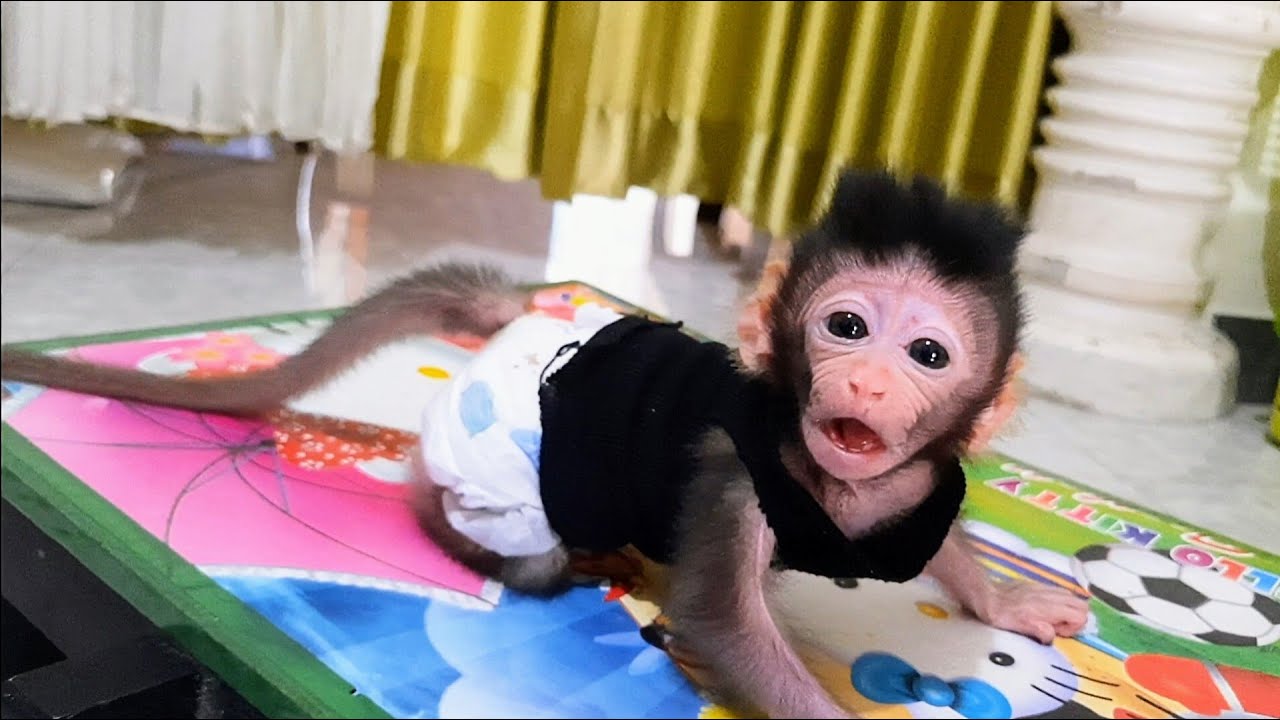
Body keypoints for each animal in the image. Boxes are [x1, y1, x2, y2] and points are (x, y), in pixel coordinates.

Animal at [0, 170, 1088, 718]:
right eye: (846, 327)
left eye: (927, 351)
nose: (864, 383)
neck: (837, 491)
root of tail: (521, 319)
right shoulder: (731, 479)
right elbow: (724, 627)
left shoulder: (925, 483)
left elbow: (947, 539)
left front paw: (1008, 598)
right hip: (499, 481)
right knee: (502, 533)